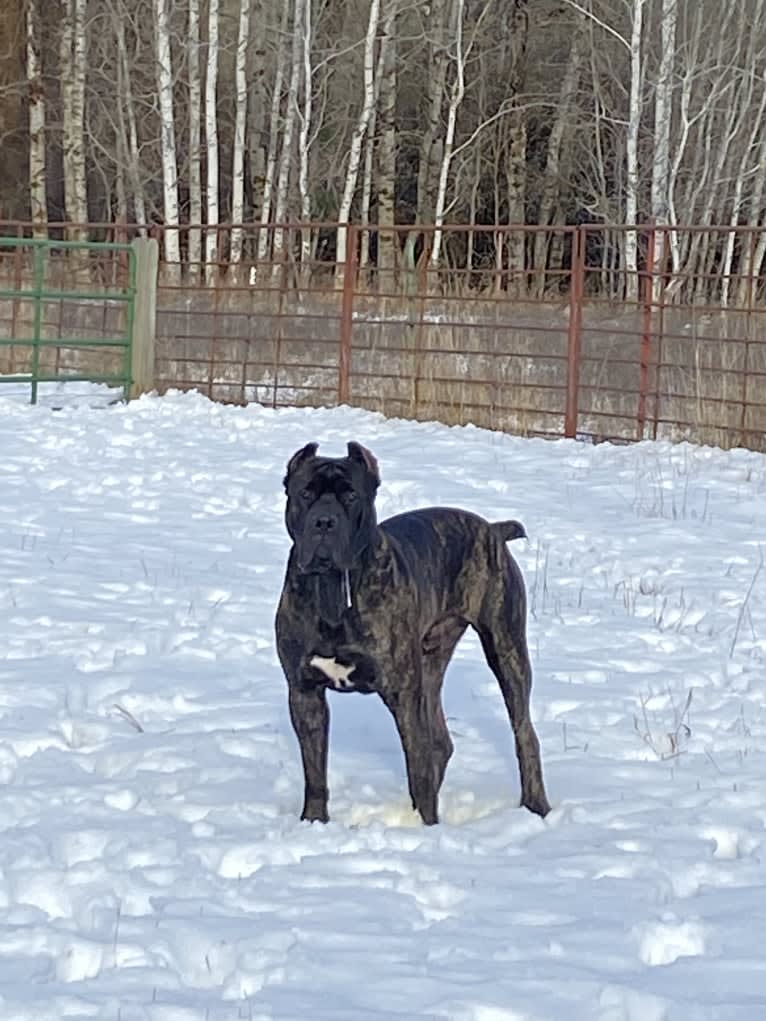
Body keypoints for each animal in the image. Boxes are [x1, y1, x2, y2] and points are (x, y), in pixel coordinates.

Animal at [275, 443, 551, 824]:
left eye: (351, 495)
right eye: (305, 493)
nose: (324, 522)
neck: (332, 589)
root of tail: (492, 529)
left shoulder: (404, 694)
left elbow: (418, 768)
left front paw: (429, 827)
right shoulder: (304, 692)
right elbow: (314, 771)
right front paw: (314, 821)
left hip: (505, 650)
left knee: (523, 733)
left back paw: (536, 805)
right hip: (432, 662)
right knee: (441, 741)